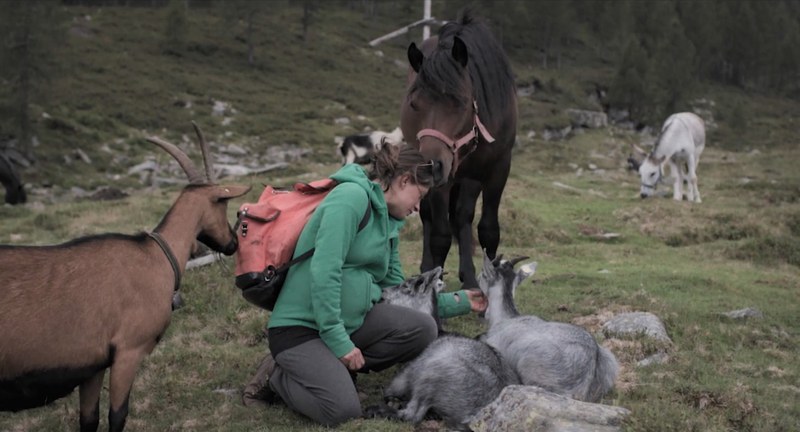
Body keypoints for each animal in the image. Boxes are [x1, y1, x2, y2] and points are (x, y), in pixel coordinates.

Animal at [0, 122, 250, 432]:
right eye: (223, 204)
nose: (232, 243)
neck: (157, 255)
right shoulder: (128, 352)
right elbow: (117, 415)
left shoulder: (93, 366)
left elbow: (89, 419)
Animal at [372, 268, 520, 430]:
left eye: (406, 285)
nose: (383, 291)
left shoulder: (405, 377)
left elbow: (391, 391)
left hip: (432, 372)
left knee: (413, 414)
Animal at [400, 11, 520, 286]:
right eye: (413, 103)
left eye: (461, 102)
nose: (430, 165)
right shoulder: (443, 176)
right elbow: (440, 237)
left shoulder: (498, 168)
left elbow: (488, 230)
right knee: (429, 216)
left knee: (462, 216)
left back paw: (470, 277)